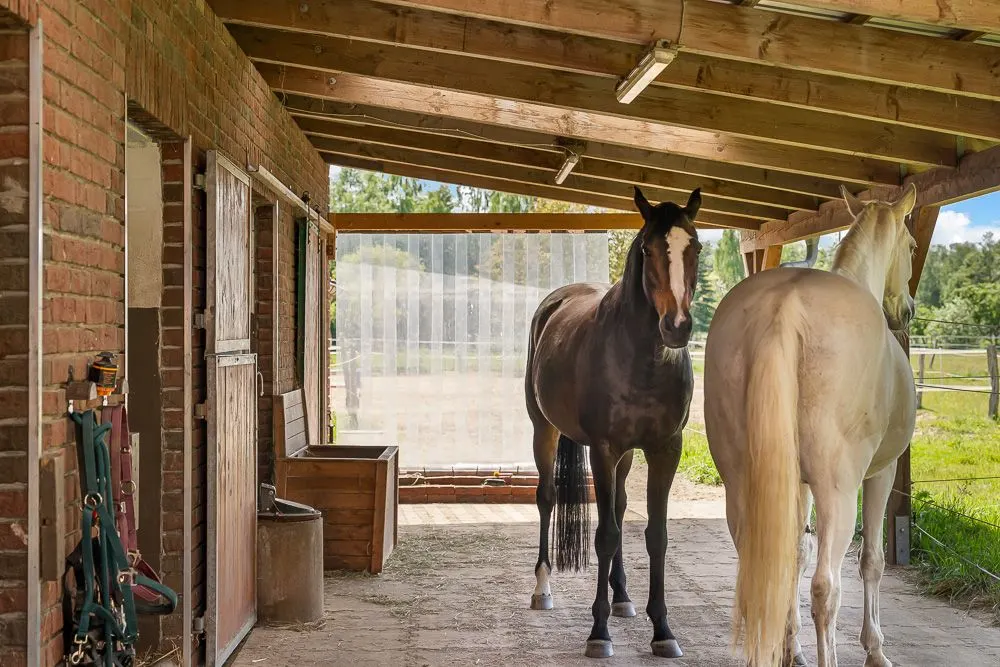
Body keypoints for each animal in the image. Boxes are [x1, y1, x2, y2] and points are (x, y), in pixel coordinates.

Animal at [525, 186, 704, 659]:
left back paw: (622, 596)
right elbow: (604, 534)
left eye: (695, 246)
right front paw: (599, 633)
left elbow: (654, 535)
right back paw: (543, 589)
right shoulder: (603, 450)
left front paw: (663, 631)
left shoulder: (665, 448)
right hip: (544, 430)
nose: (677, 327)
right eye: (647, 249)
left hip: (625, 456)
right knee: (547, 498)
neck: (642, 360)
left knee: (620, 508)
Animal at [703, 183, 919, 667]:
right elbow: (871, 561)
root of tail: (784, 308)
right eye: (914, 246)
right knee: (826, 587)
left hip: (742, 483)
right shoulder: (880, 474)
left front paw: (791, 646)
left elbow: (794, 557)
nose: (906, 311)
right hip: (838, 490)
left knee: (762, 566)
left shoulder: (793, 482)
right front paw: (875, 649)